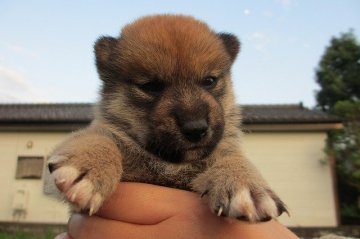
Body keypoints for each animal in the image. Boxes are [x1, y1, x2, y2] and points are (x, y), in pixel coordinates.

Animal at [49, 14, 288, 222]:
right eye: (151, 86)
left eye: (209, 81)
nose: (196, 129)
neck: (171, 163)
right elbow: (99, 136)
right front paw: (89, 165)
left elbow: (231, 157)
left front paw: (244, 183)